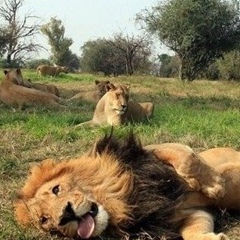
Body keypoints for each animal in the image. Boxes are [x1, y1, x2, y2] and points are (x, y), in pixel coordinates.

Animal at [14, 132, 240, 239]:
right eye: (44, 220)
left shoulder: (153, 151)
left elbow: (187, 158)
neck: (121, 198)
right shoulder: (188, 214)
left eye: (56, 189)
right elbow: (193, 231)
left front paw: (215, 185)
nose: (64, 215)